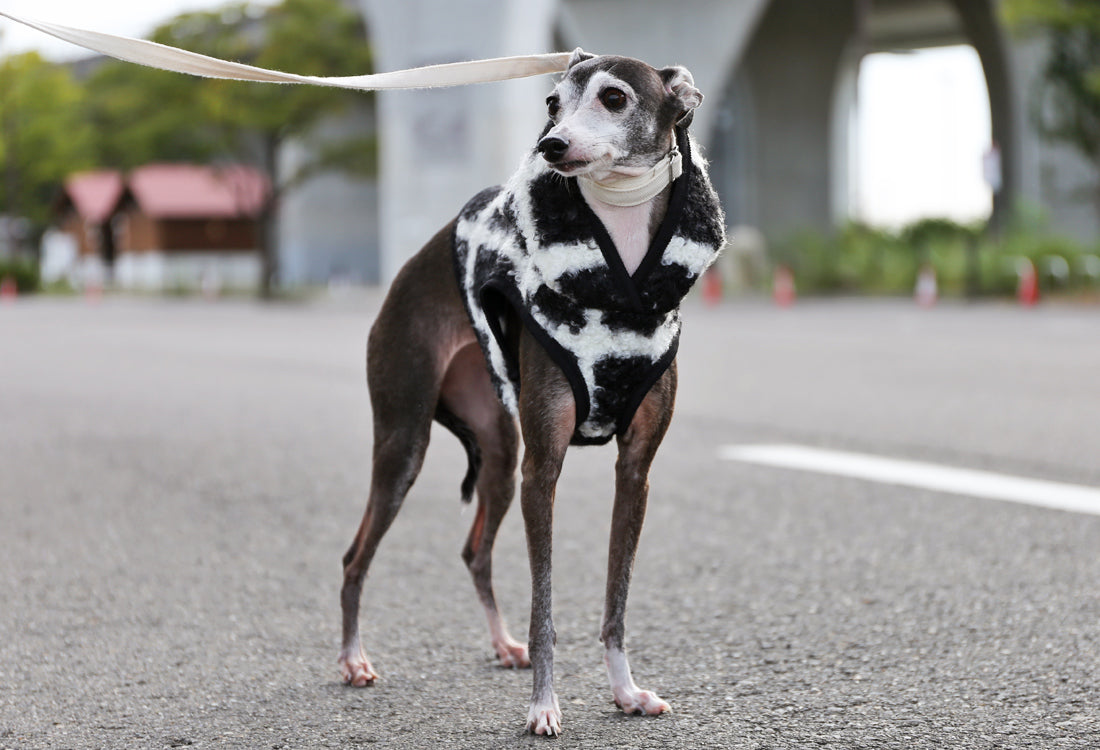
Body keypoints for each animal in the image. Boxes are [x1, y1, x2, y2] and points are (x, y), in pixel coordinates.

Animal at [338, 49, 726, 734]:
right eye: (552, 102)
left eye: (614, 97)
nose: (552, 145)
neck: (618, 285)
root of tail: (404, 276)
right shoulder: (543, 470)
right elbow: (543, 605)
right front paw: (544, 707)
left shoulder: (634, 471)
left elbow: (616, 599)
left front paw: (625, 692)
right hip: (405, 442)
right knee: (355, 557)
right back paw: (355, 660)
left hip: (499, 449)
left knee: (474, 551)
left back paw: (500, 644)